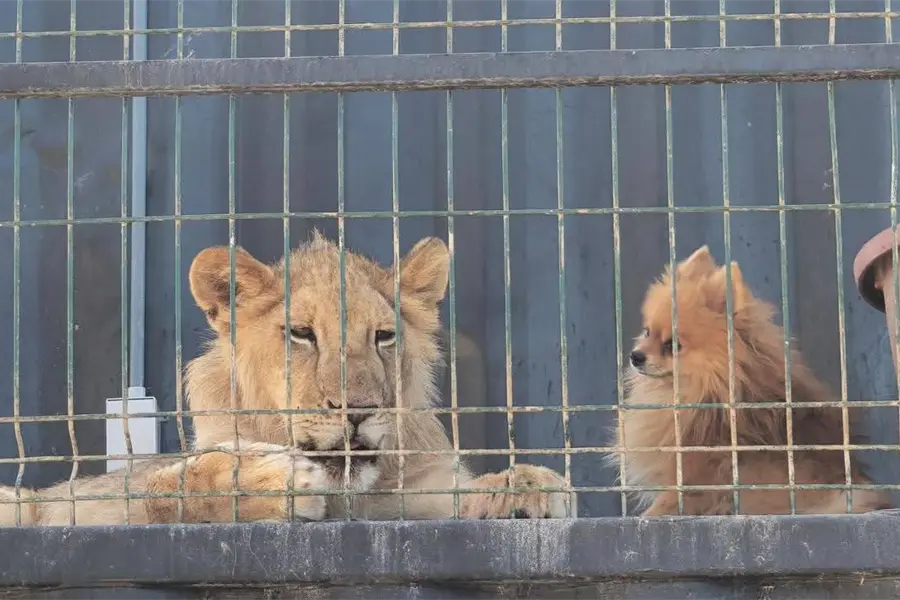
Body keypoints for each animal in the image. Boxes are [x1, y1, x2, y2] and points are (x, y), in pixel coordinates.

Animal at [0, 233, 575, 525]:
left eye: (384, 336)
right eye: (301, 333)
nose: (357, 408)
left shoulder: (415, 492)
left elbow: (456, 494)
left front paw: (526, 486)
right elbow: (157, 485)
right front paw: (263, 482)